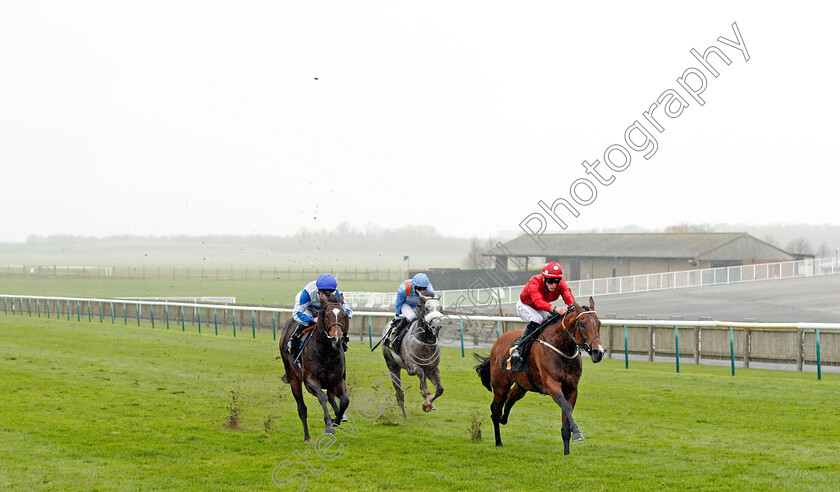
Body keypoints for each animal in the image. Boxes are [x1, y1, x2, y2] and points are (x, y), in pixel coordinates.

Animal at [280, 298, 350, 444]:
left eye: (343, 315)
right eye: (327, 315)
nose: (337, 339)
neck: (326, 352)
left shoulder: (338, 380)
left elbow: (344, 400)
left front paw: (336, 420)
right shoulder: (310, 380)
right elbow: (322, 397)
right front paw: (329, 425)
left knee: (331, 396)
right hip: (294, 377)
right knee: (302, 408)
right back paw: (307, 437)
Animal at [472, 296, 604, 454]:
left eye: (599, 323)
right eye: (583, 324)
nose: (599, 352)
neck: (561, 348)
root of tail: (497, 341)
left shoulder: (572, 389)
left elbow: (566, 418)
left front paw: (567, 452)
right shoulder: (552, 385)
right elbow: (566, 407)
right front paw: (578, 433)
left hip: (522, 386)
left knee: (510, 399)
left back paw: (504, 419)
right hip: (500, 386)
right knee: (495, 410)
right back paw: (498, 442)